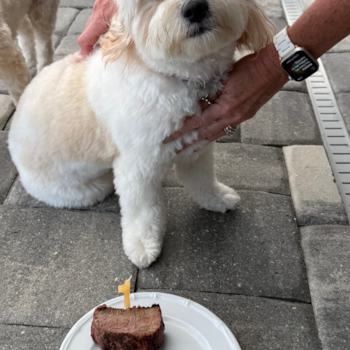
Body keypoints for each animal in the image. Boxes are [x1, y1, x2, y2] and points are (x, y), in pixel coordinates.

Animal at [8, 0, 274, 268]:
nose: (195, 8)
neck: (183, 79)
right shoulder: (138, 166)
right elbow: (143, 210)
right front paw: (143, 244)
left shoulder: (196, 147)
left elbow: (203, 180)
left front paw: (217, 198)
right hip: (82, 190)